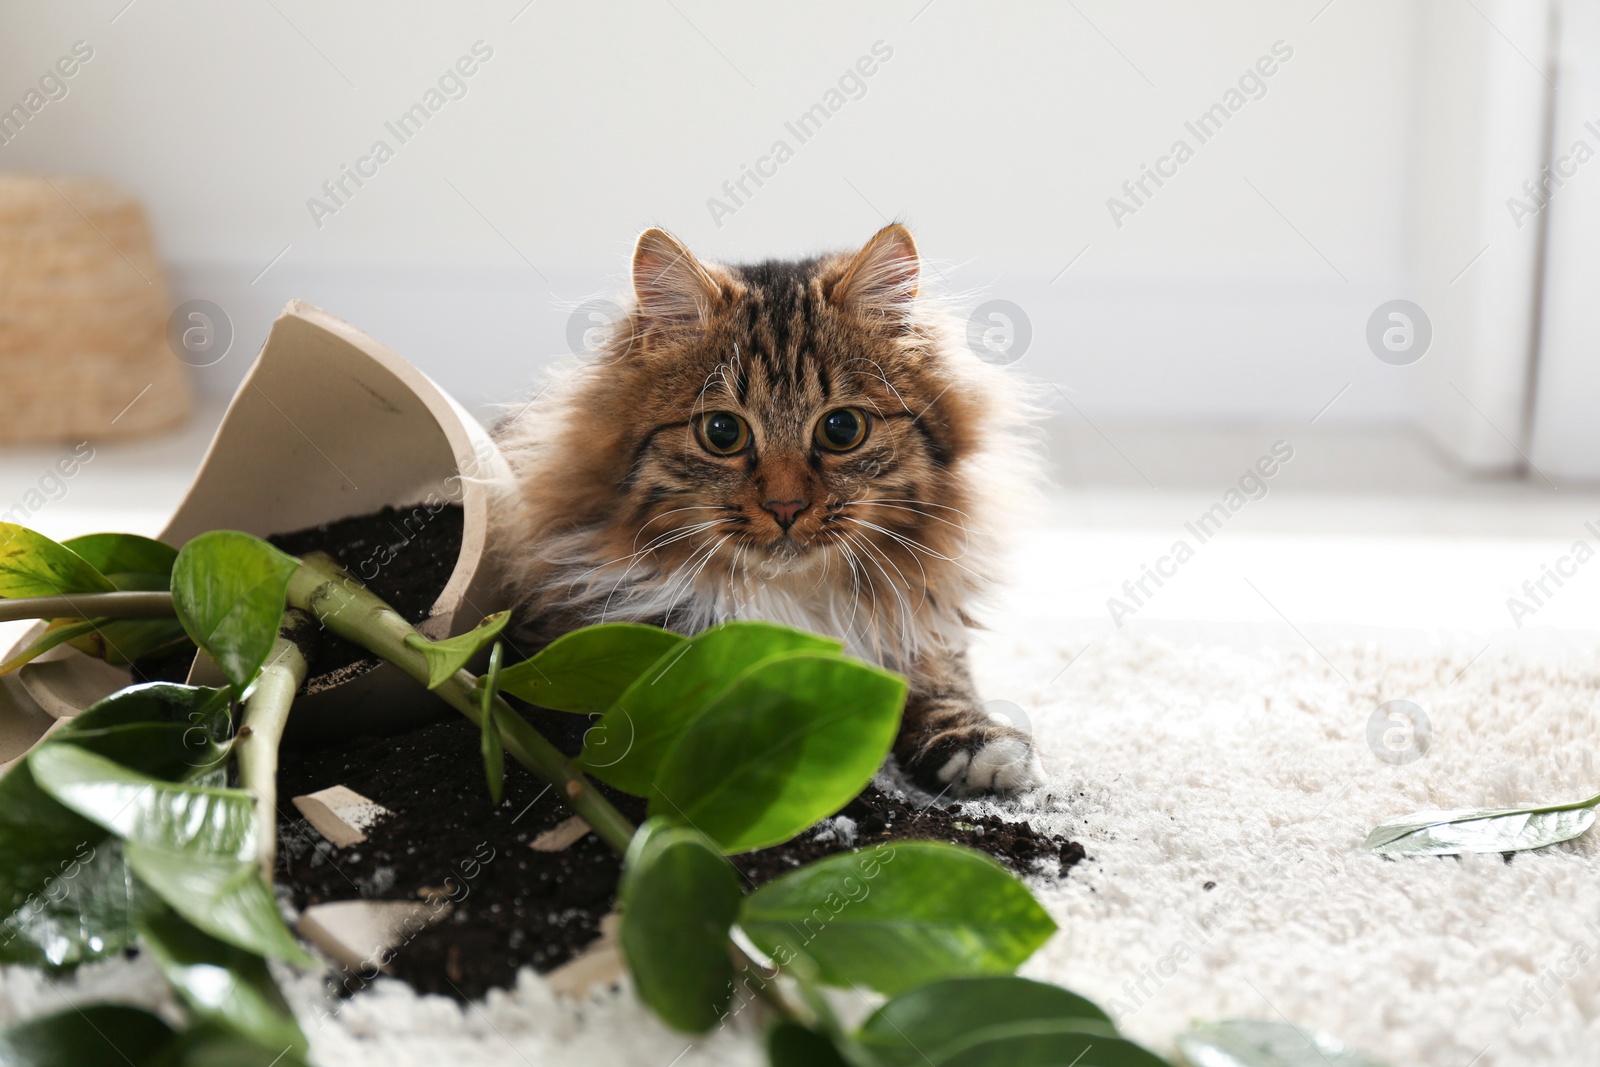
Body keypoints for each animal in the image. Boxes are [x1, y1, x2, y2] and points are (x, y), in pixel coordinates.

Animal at [486, 225, 1043, 793]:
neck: (795, 598)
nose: (786, 506)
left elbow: (941, 677)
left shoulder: (918, 617)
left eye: (842, 428)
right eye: (722, 432)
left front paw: (979, 744)